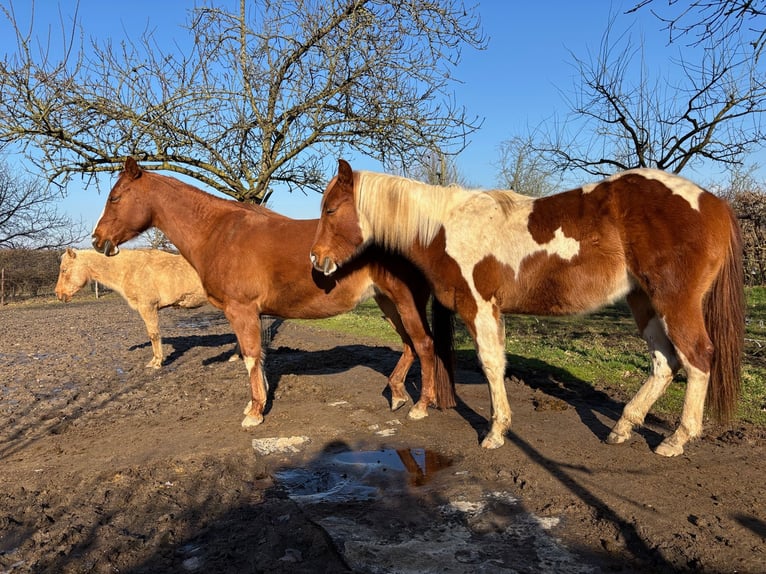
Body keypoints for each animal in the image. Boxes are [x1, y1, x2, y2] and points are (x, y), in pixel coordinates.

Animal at [54, 248, 212, 368]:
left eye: (64, 270)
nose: (58, 294)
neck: (130, 269)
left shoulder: (148, 308)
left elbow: (154, 335)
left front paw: (156, 362)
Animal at [93, 160, 460, 430]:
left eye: (115, 197)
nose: (98, 240)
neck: (219, 232)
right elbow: (256, 358)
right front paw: (257, 402)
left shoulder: (241, 310)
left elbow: (251, 356)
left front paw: (255, 412)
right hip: (388, 301)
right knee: (410, 344)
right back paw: (397, 394)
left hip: (403, 299)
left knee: (423, 344)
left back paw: (420, 406)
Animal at [310, 160, 744, 456]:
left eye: (330, 209)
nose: (316, 260)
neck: (445, 229)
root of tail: (714, 202)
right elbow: (496, 364)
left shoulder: (480, 307)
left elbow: (491, 365)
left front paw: (495, 432)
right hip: (643, 302)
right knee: (664, 363)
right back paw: (622, 428)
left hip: (673, 301)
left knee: (698, 358)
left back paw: (676, 439)